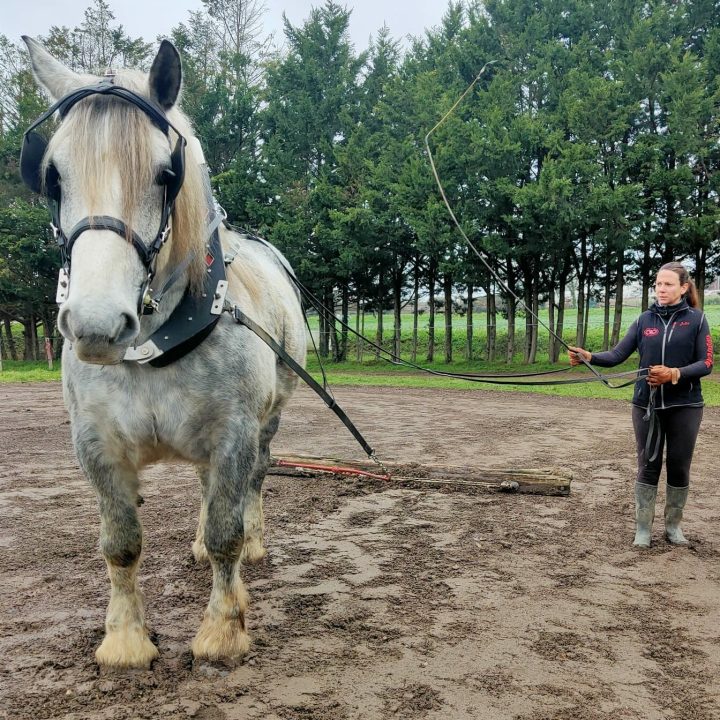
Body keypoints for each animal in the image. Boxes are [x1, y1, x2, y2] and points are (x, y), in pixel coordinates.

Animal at [22, 37, 307, 668]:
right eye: (53, 176)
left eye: (165, 173)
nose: (97, 324)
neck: (153, 350)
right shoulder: (96, 445)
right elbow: (121, 544)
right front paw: (126, 639)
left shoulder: (234, 433)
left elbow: (227, 529)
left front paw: (223, 629)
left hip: (270, 417)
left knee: (254, 481)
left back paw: (251, 545)